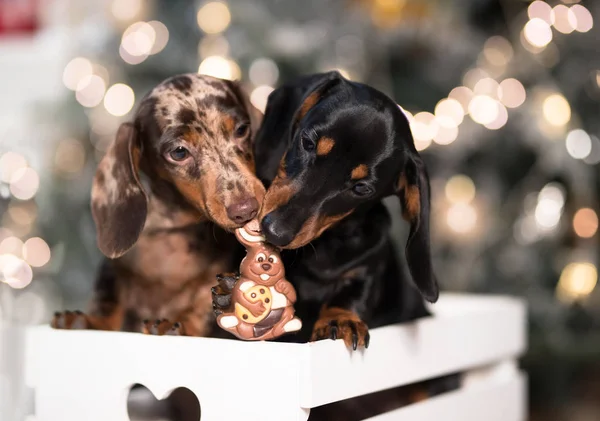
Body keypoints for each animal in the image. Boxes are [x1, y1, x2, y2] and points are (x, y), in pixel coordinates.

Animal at [52, 72, 264, 334]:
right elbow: (108, 302)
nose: (246, 210)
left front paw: (178, 324)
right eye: (179, 152)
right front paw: (89, 321)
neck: (174, 234)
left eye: (242, 129)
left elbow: (206, 305)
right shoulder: (113, 273)